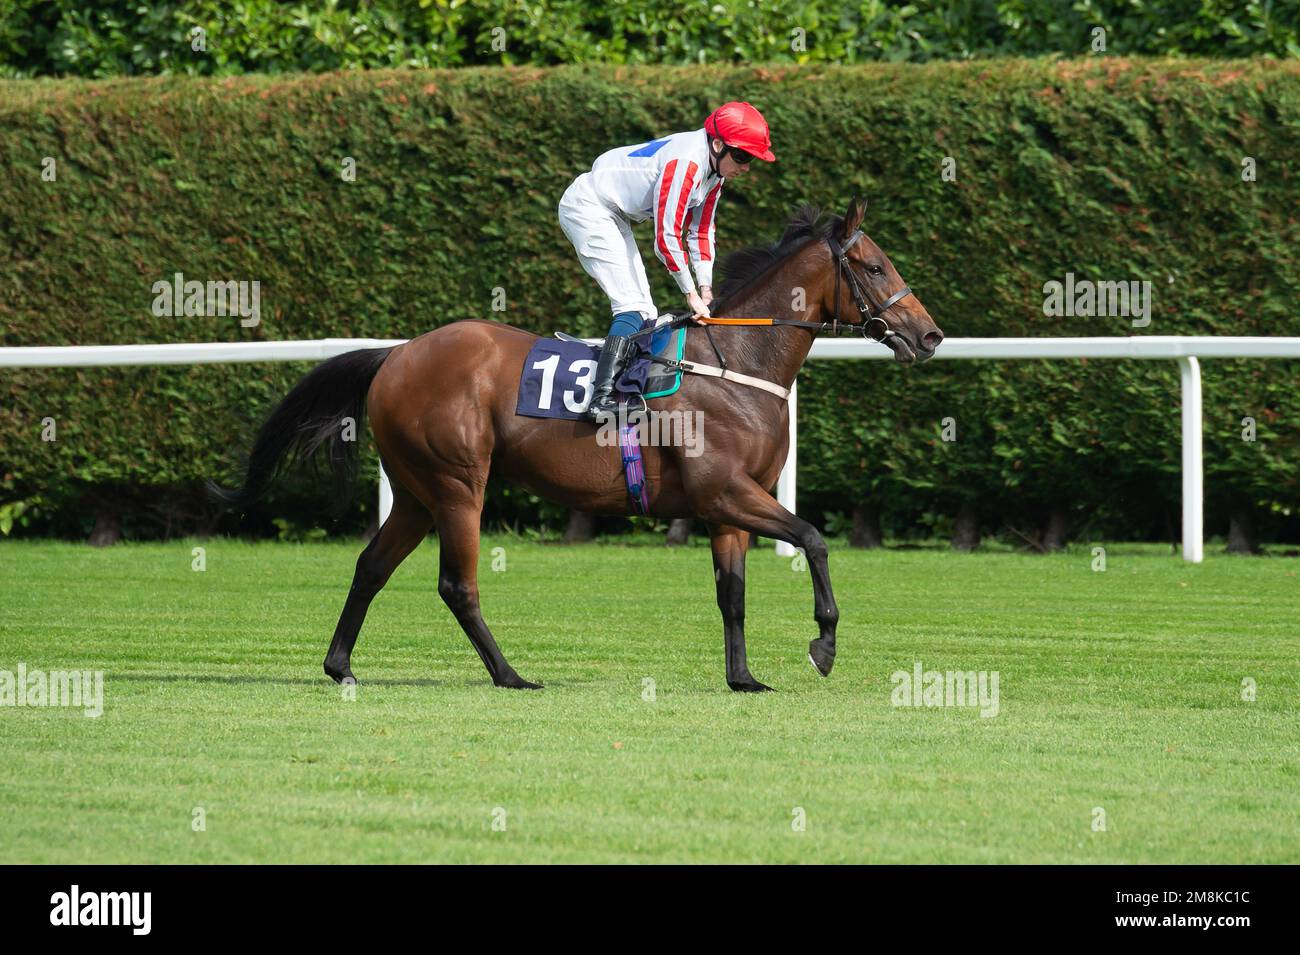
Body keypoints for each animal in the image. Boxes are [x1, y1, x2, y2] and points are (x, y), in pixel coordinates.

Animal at [210, 200, 946, 696]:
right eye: (875, 265)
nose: (931, 335)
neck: (735, 362)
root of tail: (397, 354)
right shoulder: (726, 491)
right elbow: (815, 538)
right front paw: (823, 643)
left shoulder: (727, 508)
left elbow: (732, 596)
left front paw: (744, 677)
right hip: (457, 483)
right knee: (457, 583)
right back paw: (510, 674)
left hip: (417, 491)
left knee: (370, 567)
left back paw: (341, 665)